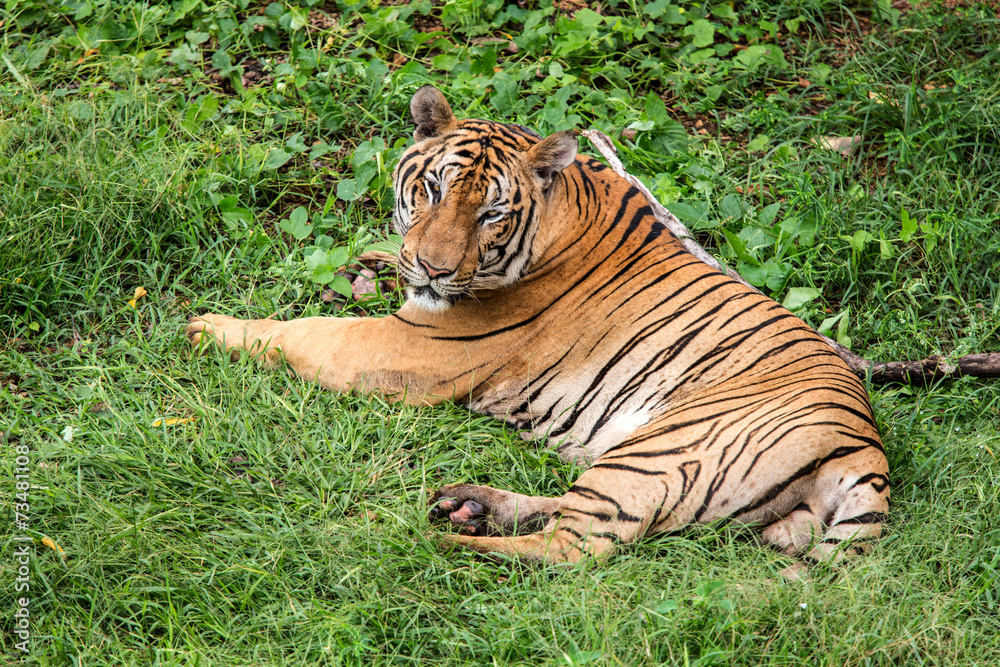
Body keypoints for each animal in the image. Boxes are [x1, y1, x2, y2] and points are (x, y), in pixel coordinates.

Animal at [187, 85, 890, 569]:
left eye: (492, 213)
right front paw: (374, 260)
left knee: (575, 550)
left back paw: (440, 540)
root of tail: (867, 447)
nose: (434, 269)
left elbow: (311, 331)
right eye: (432, 191)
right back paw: (470, 506)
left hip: (663, 447)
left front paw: (205, 326)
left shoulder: (415, 345)